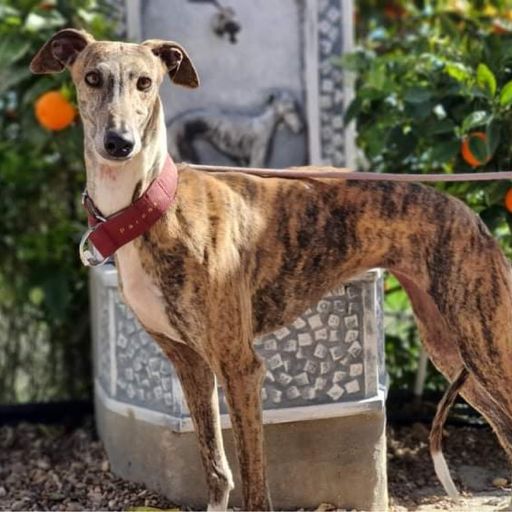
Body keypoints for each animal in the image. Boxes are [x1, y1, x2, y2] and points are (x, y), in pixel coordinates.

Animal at [167, 90, 303, 166]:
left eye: (296, 107)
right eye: (291, 109)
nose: (300, 128)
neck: (266, 123)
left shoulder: (242, 161)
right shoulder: (257, 160)